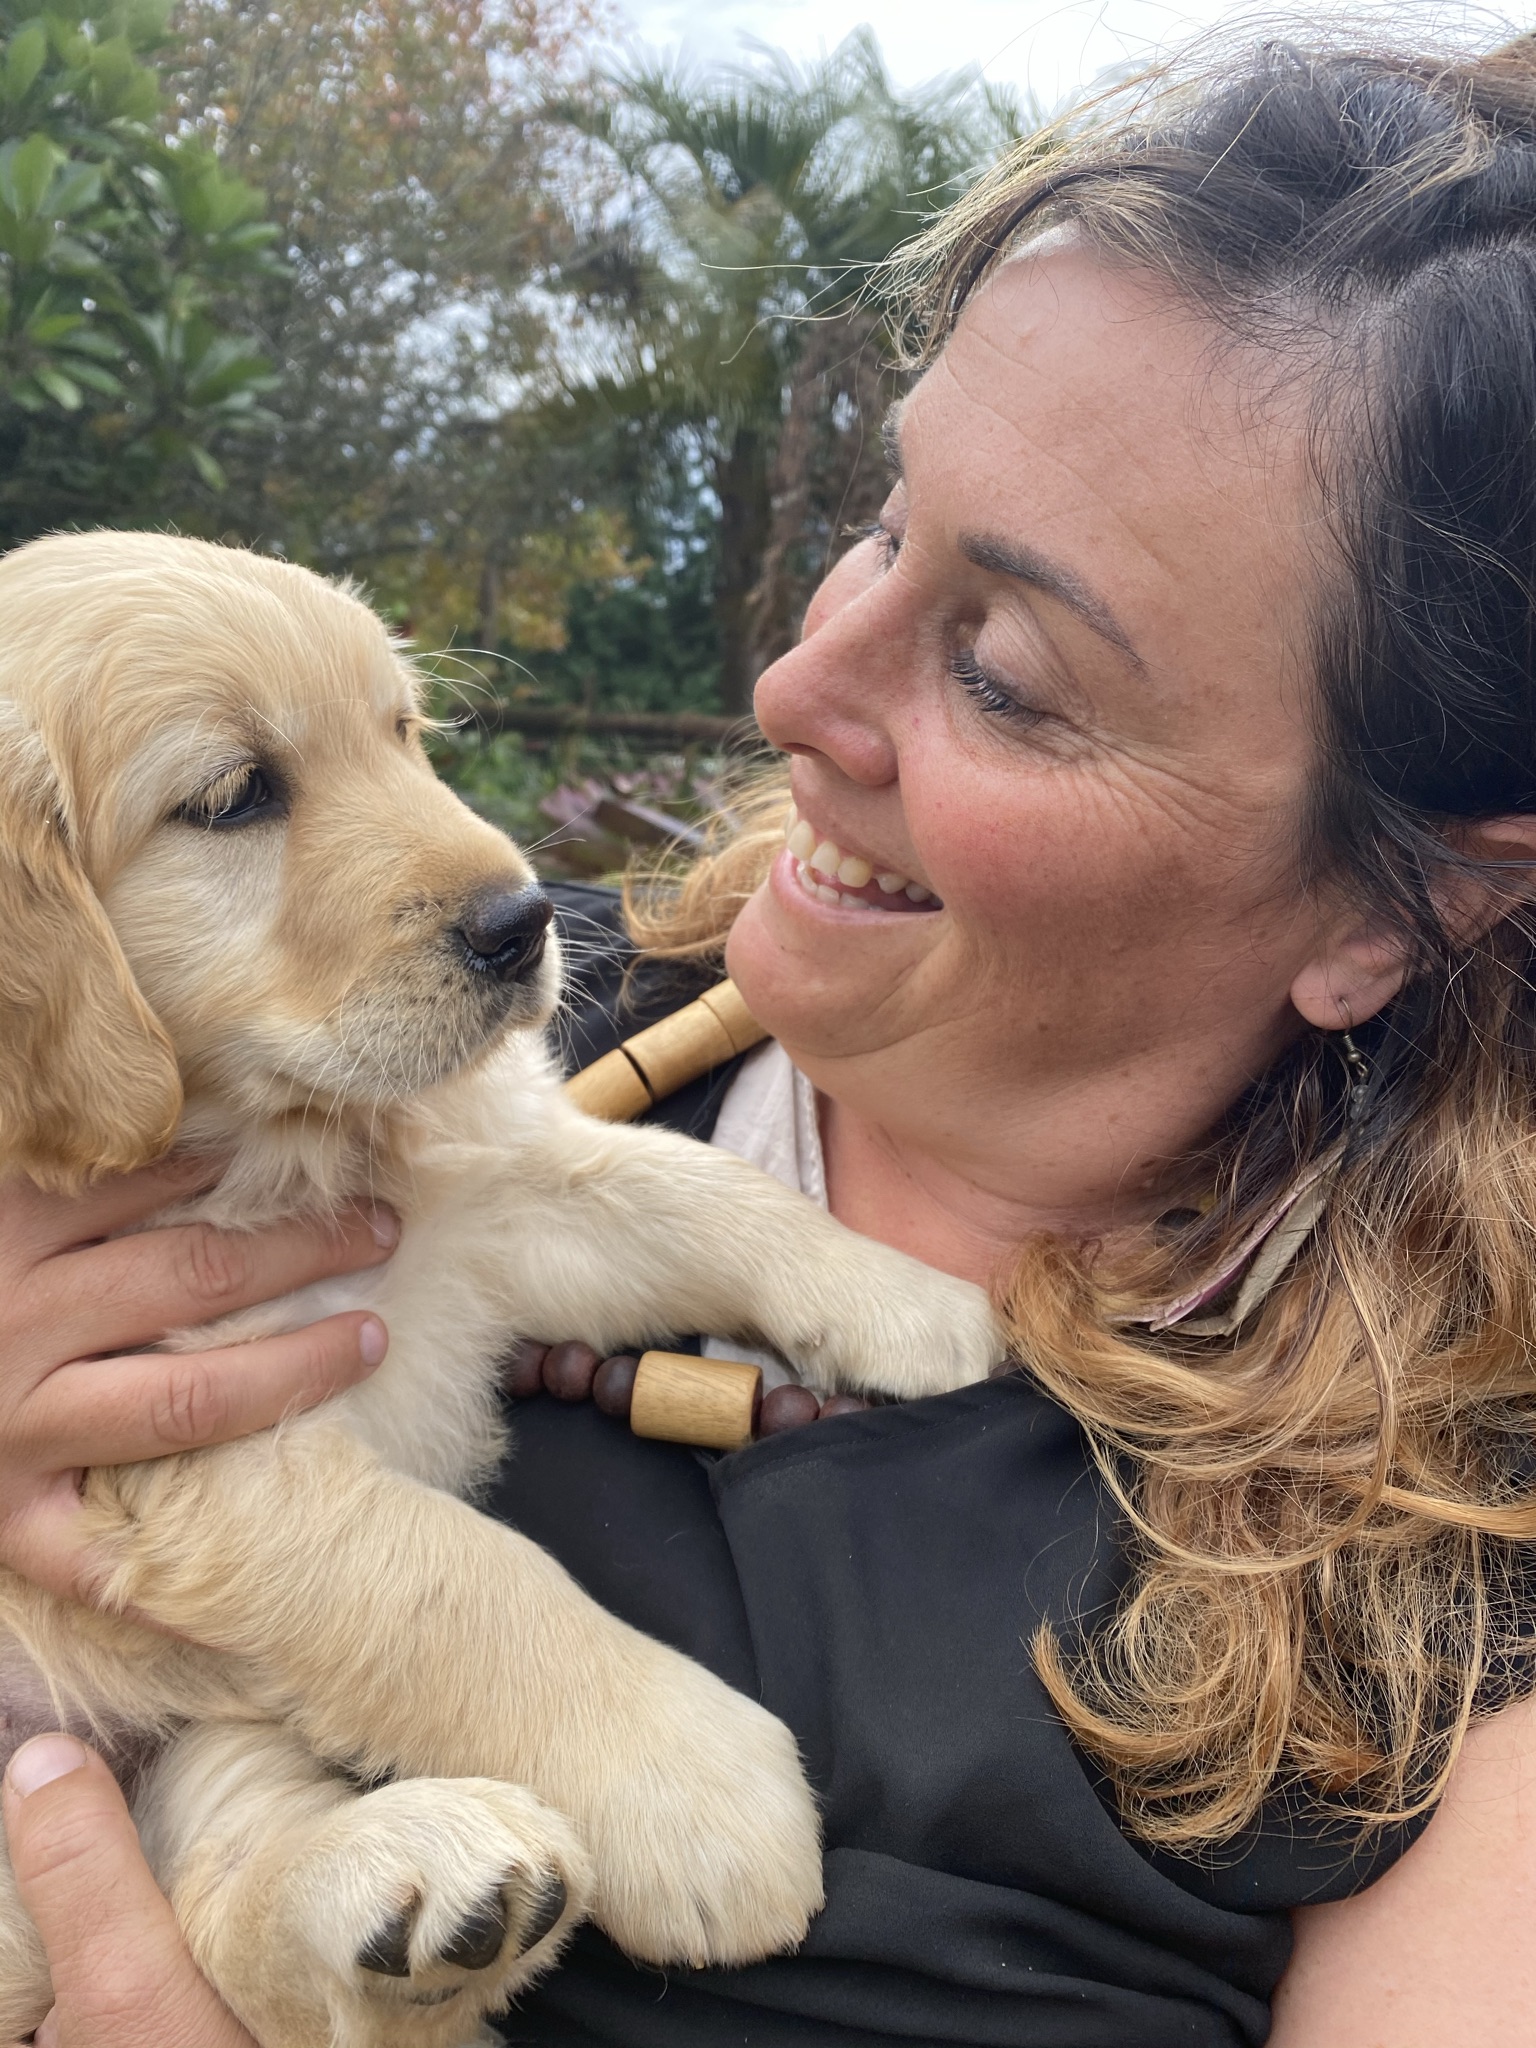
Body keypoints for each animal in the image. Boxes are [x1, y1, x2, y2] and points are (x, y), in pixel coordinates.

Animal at [0, 540, 1011, 2048]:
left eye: (402, 732)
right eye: (234, 796)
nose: (524, 922)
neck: (282, 1143)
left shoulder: (501, 1202)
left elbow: (691, 1192)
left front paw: (910, 1298)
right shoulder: (190, 1443)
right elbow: (457, 1577)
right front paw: (699, 1788)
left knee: (235, 1893)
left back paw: (418, 1899)